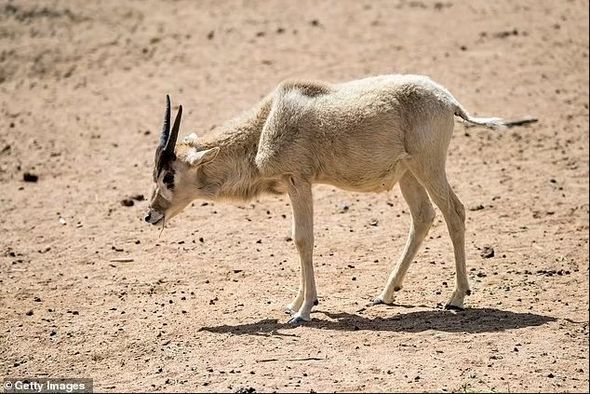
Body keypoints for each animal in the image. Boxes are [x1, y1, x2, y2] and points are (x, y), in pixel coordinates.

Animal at [146, 74, 506, 324]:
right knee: (423, 216)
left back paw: (456, 297)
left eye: (169, 177)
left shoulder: (299, 180)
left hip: (427, 165)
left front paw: (303, 310)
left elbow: (302, 239)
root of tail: (448, 100)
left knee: (454, 211)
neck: (266, 122)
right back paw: (386, 294)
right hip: (408, 173)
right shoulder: (294, 183)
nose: (151, 214)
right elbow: (299, 240)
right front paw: (295, 303)